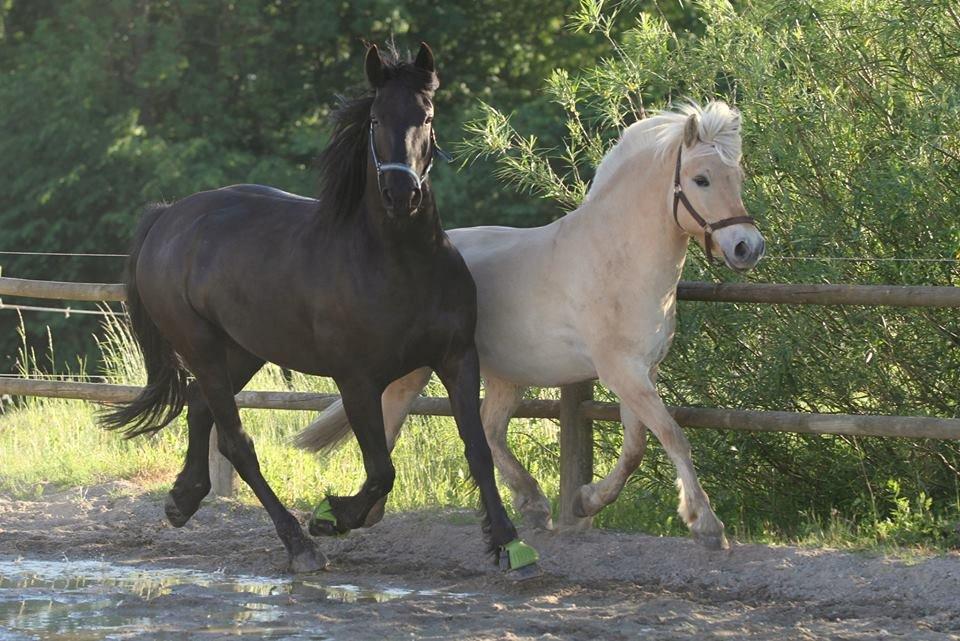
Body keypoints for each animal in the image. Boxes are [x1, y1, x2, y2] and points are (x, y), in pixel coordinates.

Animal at [105, 43, 544, 576]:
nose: (402, 195)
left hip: (243, 350)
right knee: (236, 442)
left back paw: (183, 499)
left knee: (199, 407)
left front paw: (509, 544)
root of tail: (169, 216)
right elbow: (381, 470)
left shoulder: (458, 358)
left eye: (427, 115)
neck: (401, 263)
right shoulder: (357, 380)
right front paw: (331, 516)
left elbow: (476, 450)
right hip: (201, 345)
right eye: (376, 118)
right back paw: (299, 544)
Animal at [296, 102, 760, 548]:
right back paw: (368, 513)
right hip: (416, 371)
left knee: (488, 430)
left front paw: (585, 502)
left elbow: (636, 447)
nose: (748, 247)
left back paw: (533, 504)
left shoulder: (642, 371)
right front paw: (707, 525)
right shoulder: (621, 371)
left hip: (505, 375)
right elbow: (672, 435)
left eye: (736, 176)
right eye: (701, 179)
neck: (617, 258)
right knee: (393, 423)